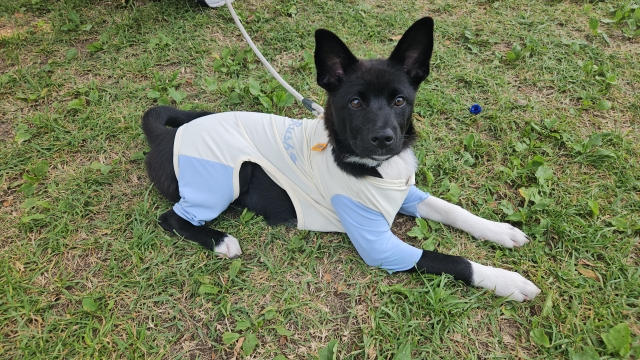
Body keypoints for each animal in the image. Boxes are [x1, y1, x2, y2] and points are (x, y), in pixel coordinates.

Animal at [141, 18, 540, 302]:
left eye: (400, 100)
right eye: (355, 102)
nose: (384, 138)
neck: (377, 167)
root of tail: (165, 135)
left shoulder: (405, 192)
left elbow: (452, 210)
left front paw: (500, 231)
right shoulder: (380, 247)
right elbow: (452, 260)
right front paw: (507, 280)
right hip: (222, 182)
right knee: (172, 218)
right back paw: (221, 240)